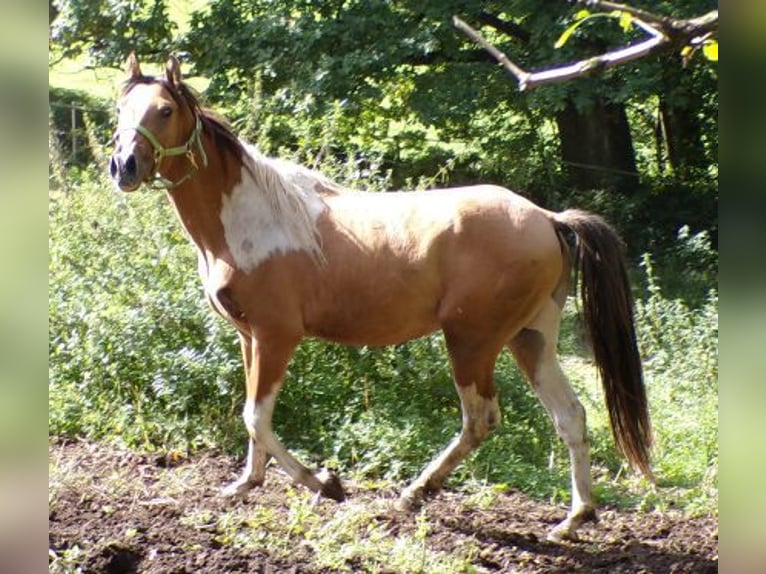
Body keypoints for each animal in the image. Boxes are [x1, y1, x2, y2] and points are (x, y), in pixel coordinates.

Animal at [109, 54, 652, 542]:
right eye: (121, 108)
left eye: (164, 110)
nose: (123, 165)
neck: (251, 218)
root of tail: (549, 218)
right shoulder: (249, 337)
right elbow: (251, 417)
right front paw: (245, 484)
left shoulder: (277, 335)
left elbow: (255, 417)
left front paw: (324, 483)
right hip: (531, 339)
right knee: (570, 416)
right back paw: (574, 518)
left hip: (472, 342)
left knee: (480, 419)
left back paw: (414, 493)